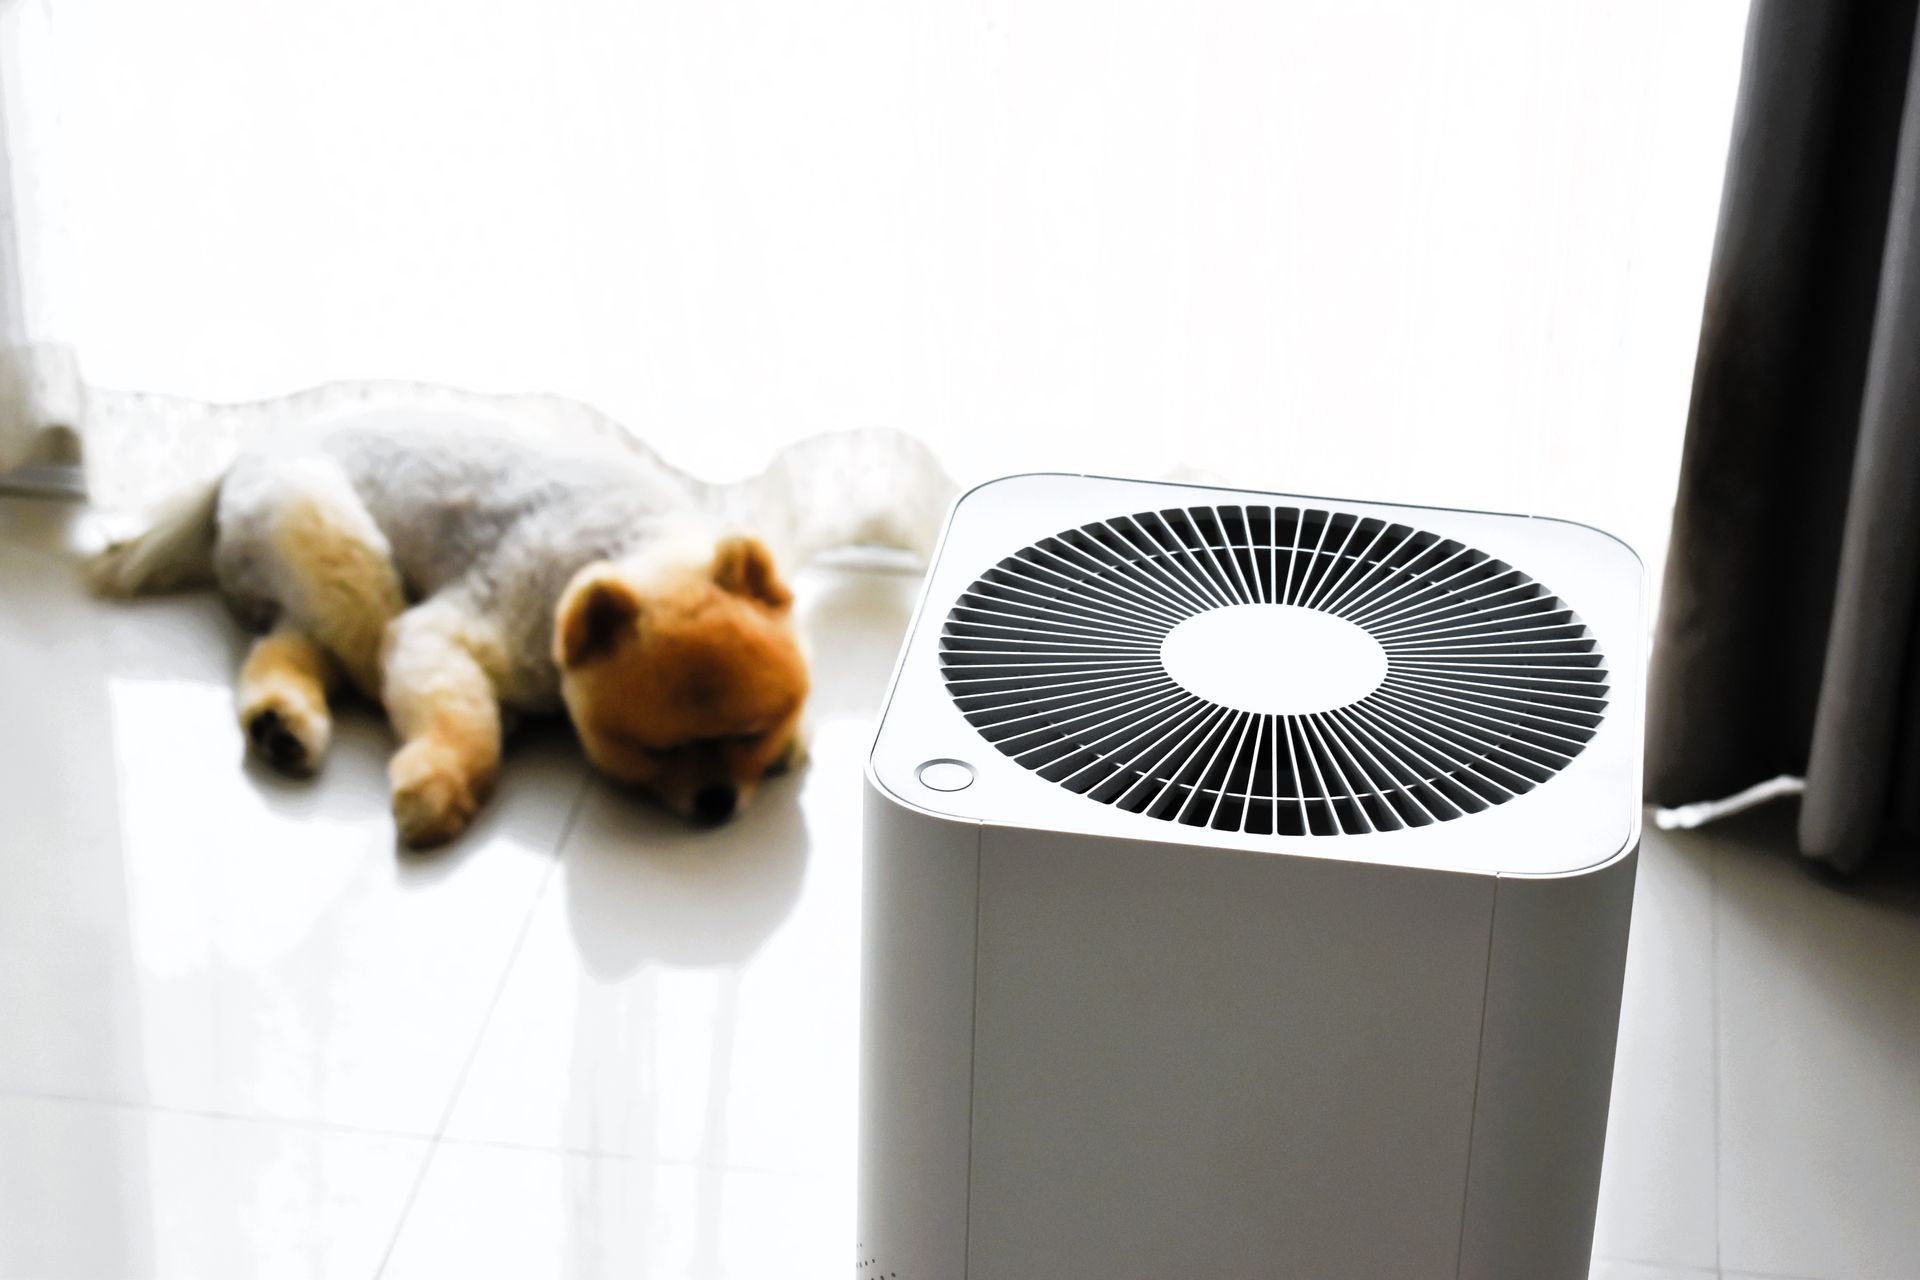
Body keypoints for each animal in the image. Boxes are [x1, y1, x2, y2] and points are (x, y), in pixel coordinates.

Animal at [91, 416, 960, 844]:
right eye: (660, 750)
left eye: (748, 732)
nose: (716, 802)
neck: (637, 548)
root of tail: (233, 464)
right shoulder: (451, 631)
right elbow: (458, 721)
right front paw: (438, 786)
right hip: (337, 545)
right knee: (357, 650)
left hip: (309, 580)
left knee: (288, 647)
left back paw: (283, 726)